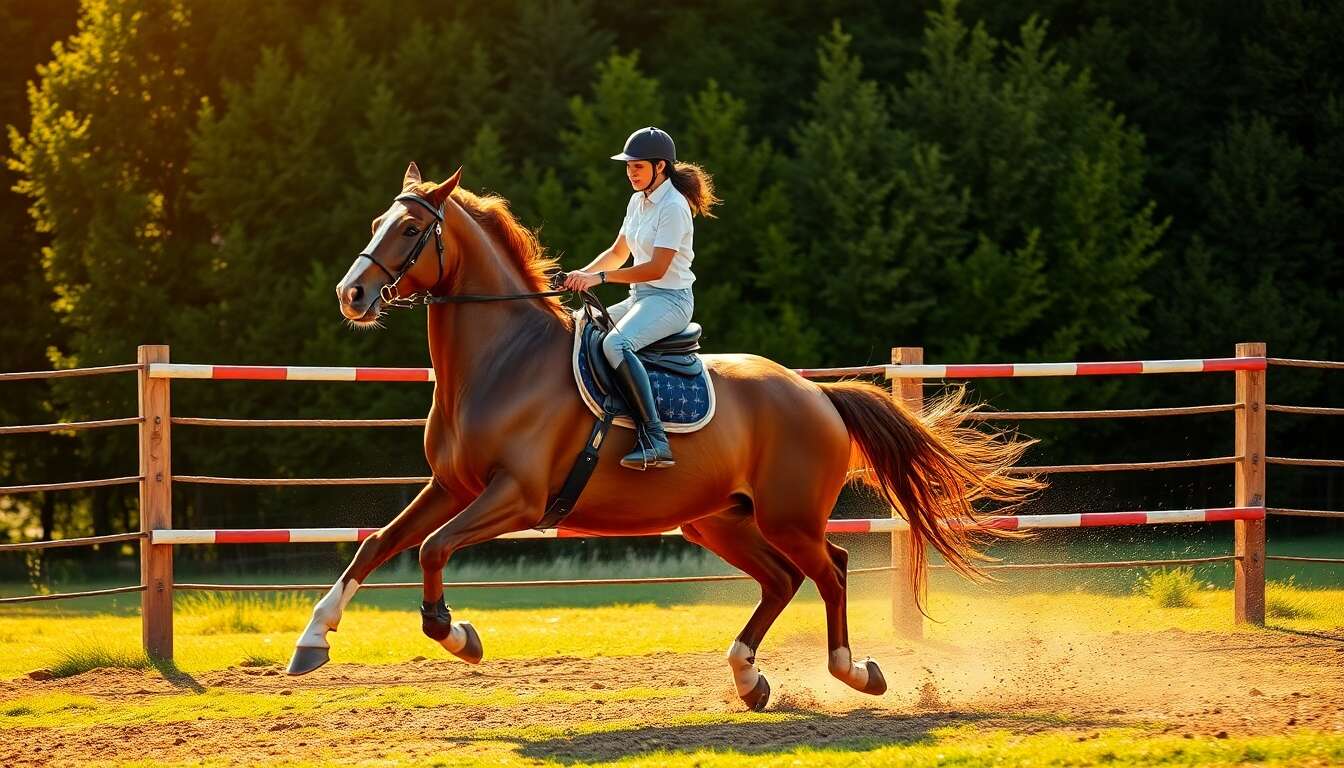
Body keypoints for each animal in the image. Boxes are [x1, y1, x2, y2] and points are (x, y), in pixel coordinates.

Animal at [285, 162, 1042, 710]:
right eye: (378, 221)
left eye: (411, 229)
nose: (352, 296)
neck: (501, 361)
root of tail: (816, 394)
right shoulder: (450, 486)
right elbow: (380, 545)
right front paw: (313, 641)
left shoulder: (516, 498)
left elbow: (433, 550)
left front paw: (457, 635)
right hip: (718, 520)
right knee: (783, 578)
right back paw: (748, 677)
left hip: (787, 516)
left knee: (829, 569)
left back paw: (853, 671)